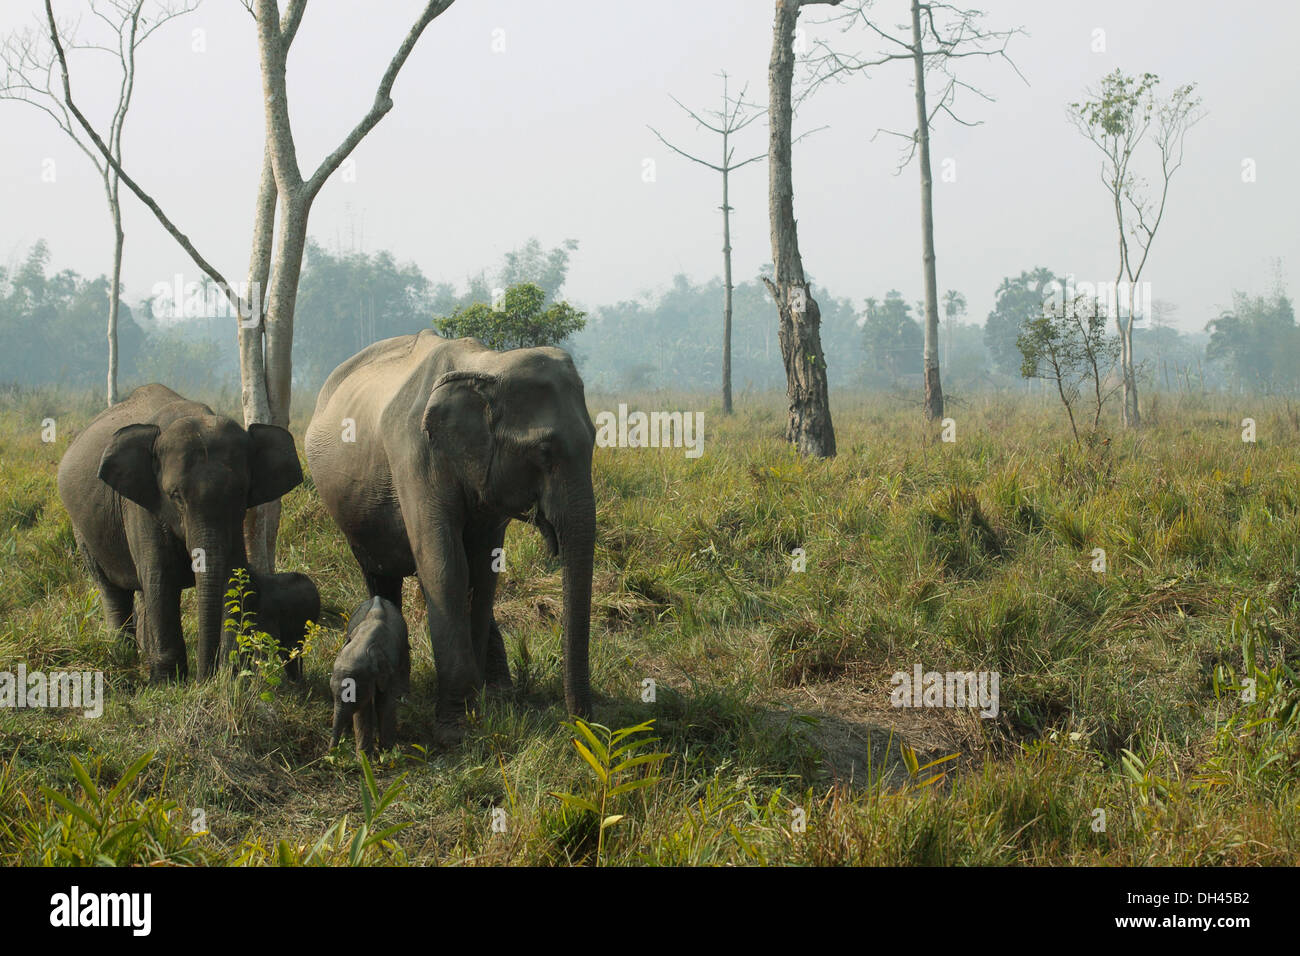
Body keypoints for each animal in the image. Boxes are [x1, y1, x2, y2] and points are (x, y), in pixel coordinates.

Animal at [57, 382, 301, 681]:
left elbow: (234, 574)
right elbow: (160, 578)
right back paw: (125, 658)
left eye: (242, 493)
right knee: (114, 590)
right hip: (83, 531)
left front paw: (232, 675)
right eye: (175, 496)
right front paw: (169, 681)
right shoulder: (141, 507)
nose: (205, 677)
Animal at [309, 330, 598, 738]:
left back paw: (498, 688)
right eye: (544, 451)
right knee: (379, 575)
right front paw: (456, 728)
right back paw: (402, 692)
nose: (582, 725)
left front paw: (484, 703)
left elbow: (483, 570)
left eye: (595, 438)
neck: (487, 366)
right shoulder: (414, 454)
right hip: (351, 512)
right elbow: (445, 568)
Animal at [327, 595, 408, 759]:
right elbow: (362, 711)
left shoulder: (390, 666)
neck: (365, 642)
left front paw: (386, 753)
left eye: (352, 693)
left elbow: (384, 703)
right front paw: (365, 759)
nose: (329, 756)